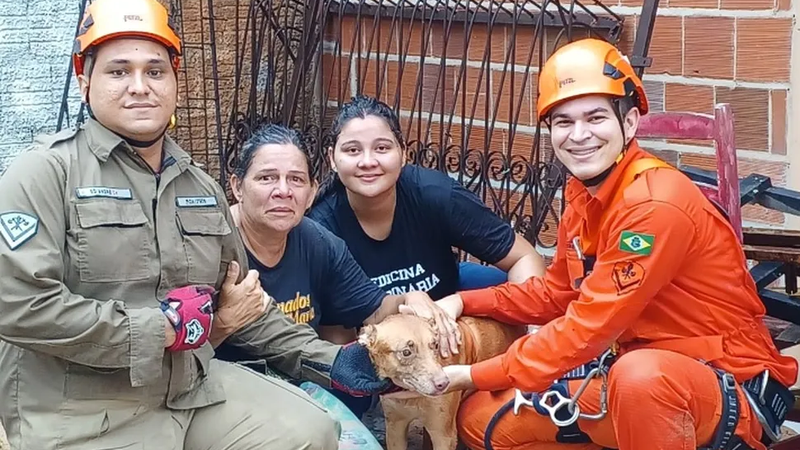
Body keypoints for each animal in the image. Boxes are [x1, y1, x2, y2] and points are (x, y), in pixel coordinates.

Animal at [360, 312, 528, 450]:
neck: (413, 399)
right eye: (406, 352)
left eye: (435, 345)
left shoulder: (443, 434)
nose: (444, 383)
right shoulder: (395, 427)